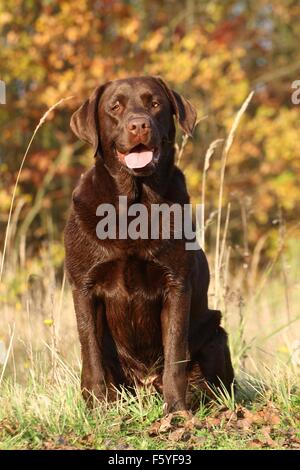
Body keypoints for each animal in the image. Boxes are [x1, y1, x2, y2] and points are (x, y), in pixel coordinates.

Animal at [64, 76, 234, 412]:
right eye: (115, 107)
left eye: (154, 103)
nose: (139, 125)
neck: (135, 205)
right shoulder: (84, 287)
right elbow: (91, 356)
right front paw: (97, 410)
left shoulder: (177, 285)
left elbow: (175, 357)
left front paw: (177, 412)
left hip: (215, 333)